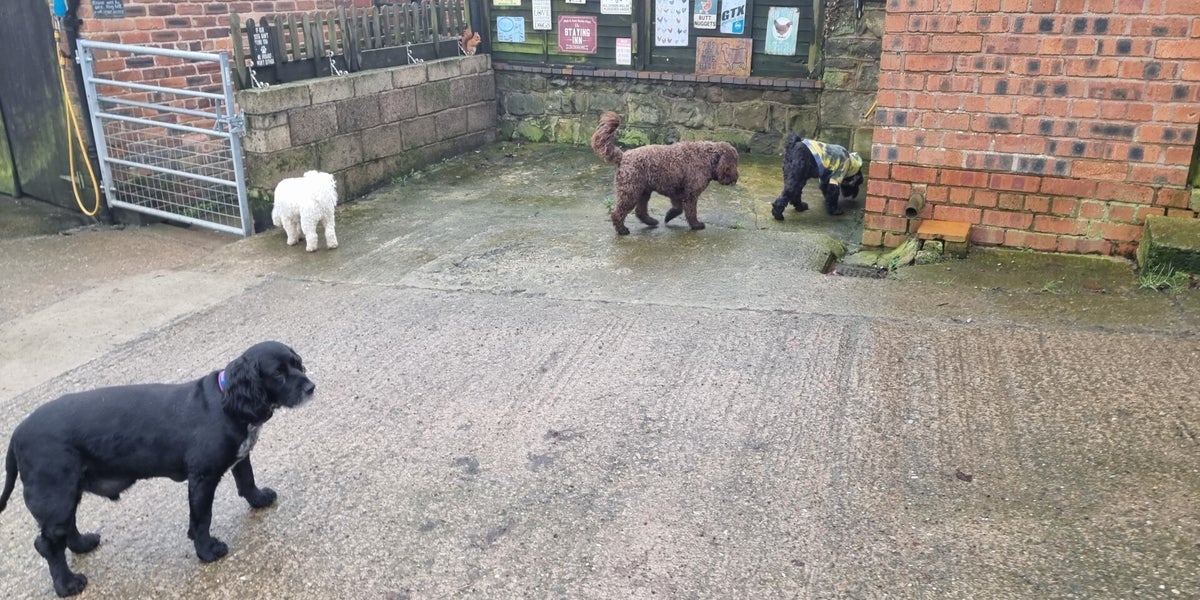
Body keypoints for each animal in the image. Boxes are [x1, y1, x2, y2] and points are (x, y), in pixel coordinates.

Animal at [0, 341, 315, 597]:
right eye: (278, 374)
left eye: (298, 363)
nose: (311, 386)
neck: (228, 402)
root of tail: (16, 434)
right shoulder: (202, 477)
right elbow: (201, 518)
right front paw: (207, 551)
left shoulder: (240, 456)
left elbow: (247, 480)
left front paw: (259, 500)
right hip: (56, 493)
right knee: (48, 544)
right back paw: (67, 585)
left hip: (67, 490)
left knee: (66, 528)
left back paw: (82, 544)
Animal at [591, 111, 739, 235]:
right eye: (734, 163)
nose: (736, 178)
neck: (707, 158)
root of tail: (623, 156)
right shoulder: (690, 194)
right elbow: (691, 211)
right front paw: (696, 225)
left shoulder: (677, 192)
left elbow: (678, 208)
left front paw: (668, 216)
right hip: (630, 192)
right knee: (618, 213)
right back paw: (622, 230)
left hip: (643, 191)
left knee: (640, 211)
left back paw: (651, 221)